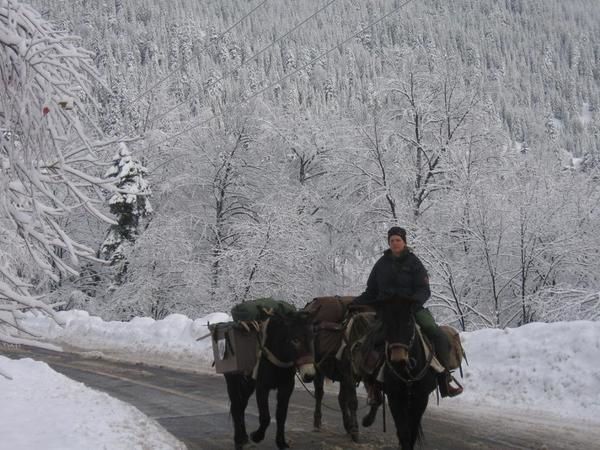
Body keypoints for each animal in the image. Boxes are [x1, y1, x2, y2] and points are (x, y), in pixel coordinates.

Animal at [360, 298, 436, 450]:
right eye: (387, 323)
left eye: (409, 322)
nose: (398, 360)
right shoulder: (395, 398)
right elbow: (403, 431)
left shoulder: (421, 399)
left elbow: (411, 433)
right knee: (375, 396)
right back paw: (368, 419)